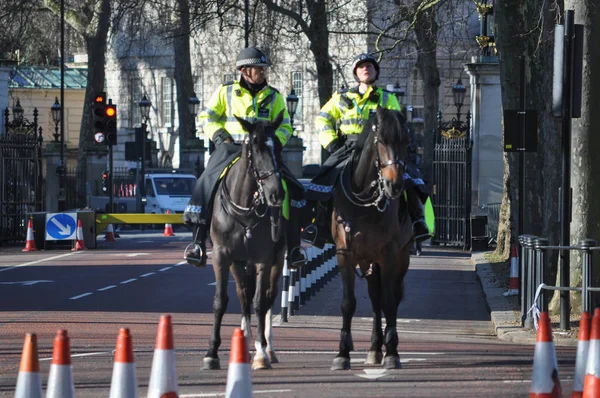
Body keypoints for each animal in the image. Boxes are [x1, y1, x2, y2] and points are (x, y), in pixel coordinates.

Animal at [328, 105, 412, 370]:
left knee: (389, 298)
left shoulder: (389, 256)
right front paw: (342, 353)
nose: (395, 185)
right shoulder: (345, 255)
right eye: (382, 141)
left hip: (400, 259)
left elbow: (389, 301)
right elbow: (348, 303)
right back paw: (375, 349)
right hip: (369, 263)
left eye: (406, 141)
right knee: (375, 299)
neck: (364, 201)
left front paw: (392, 353)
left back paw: (385, 348)